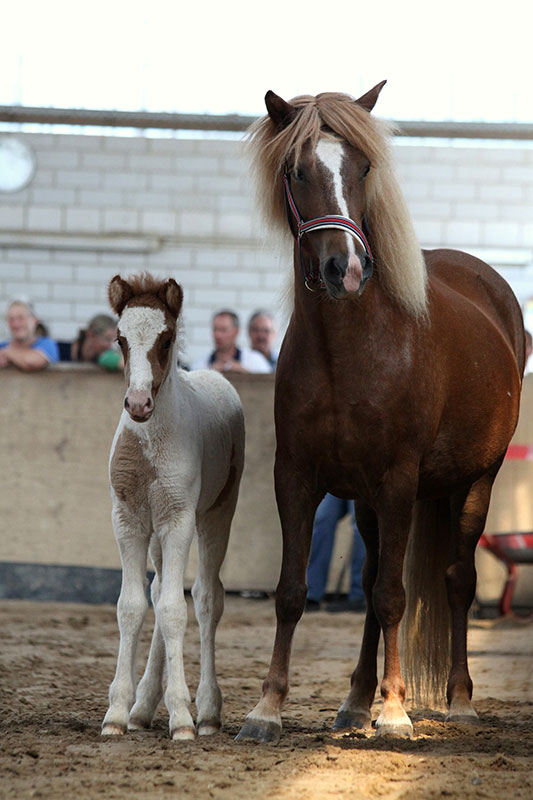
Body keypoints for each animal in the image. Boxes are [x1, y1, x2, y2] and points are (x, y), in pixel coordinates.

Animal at [101, 274, 244, 736]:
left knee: (206, 597)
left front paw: (182, 717)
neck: (150, 443)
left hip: (216, 515)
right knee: (159, 587)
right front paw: (117, 713)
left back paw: (208, 712)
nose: (138, 404)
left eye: (166, 340)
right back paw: (144, 706)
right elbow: (133, 605)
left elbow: (175, 609)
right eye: (120, 339)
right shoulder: (129, 520)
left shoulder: (179, 518)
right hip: (157, 536)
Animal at [237, 83, 524, 744]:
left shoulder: (398, 482)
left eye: (363, 167)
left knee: (456, 579)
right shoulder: (297, 478)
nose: (346, 270)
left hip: (476, 481)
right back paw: (354, 700)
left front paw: (395, 712)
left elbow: (395, 595)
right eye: (296, 170)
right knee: (369, 582)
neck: (351, 350)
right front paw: (268, 709)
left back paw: (458, 699)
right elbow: (294, 590)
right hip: (369, 501)